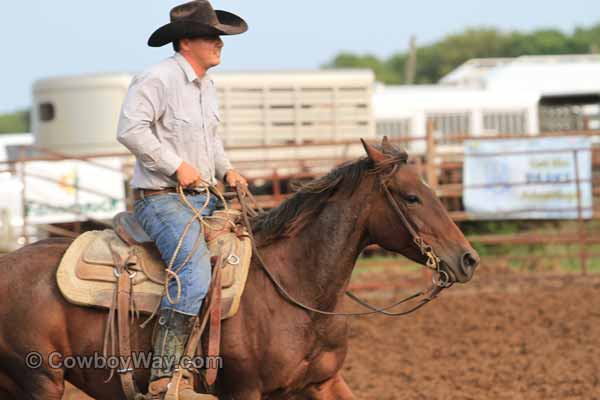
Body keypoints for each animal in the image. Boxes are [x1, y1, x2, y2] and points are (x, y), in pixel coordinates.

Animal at [0, 139, 478, 398]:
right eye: (411, 197)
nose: (468, 259)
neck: (295, 289)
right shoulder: (243, 390)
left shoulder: (323, 383)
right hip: (40, 379)